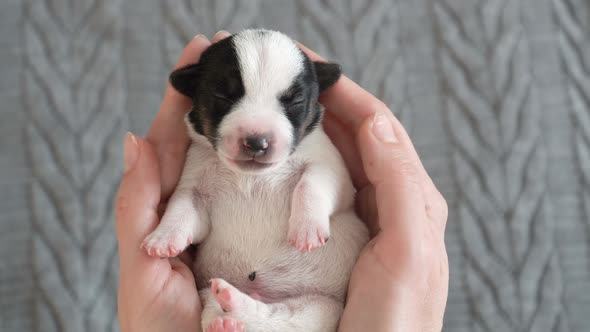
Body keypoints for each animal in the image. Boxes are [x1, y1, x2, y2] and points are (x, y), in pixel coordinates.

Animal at [143, 29, 370, 332]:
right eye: (221, 95)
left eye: (295, 101)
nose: (256, 142)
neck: (251, 177)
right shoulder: (195, 183)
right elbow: (182, 206)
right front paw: (163, 237)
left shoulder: (331, 168)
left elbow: (312, 183)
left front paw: (306, 229)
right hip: (208, 294)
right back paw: (225, 313)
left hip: (318, 309)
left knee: (279, 318)